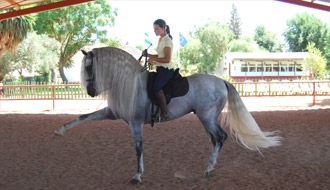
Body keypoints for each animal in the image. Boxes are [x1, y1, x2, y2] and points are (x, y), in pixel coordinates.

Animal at [52, 46, 282, 183]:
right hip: (205, 118)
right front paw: (59, 132)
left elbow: (138, 148)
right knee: (214, 139)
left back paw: (209, 168)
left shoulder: (135, 123)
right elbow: (83, 117)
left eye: (90, 67)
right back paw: (210, 167)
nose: (91, 92)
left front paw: (137, 175)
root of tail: (221, 81)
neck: (129, 83)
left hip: (207, 117)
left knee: (220, 137)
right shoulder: (112, 113)